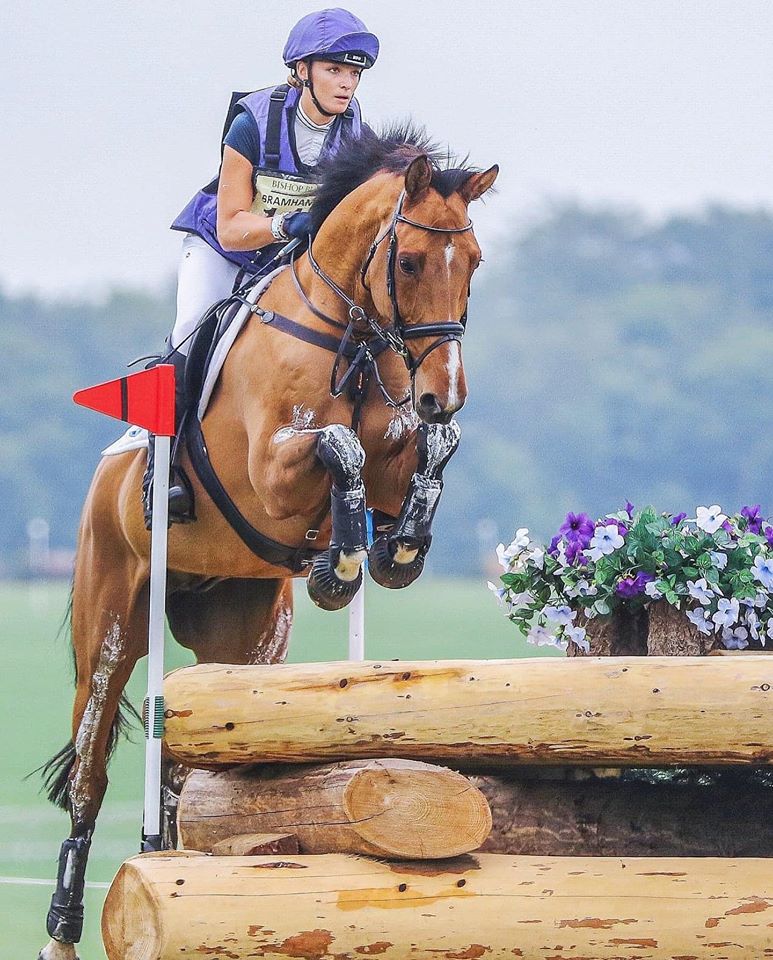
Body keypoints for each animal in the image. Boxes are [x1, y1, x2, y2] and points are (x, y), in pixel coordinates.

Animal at [37, 122, 497, 960]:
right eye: (410, 261)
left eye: (473, 263)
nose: (441, 391)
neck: (350, 335)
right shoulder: (272, 475)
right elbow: (336, 448)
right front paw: (338, 566)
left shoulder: (397, 445)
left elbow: (424, 451)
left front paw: (397, 550)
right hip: (112, 621)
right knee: (89, 767)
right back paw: (61, 927)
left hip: (244, 638)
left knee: (195, 767)